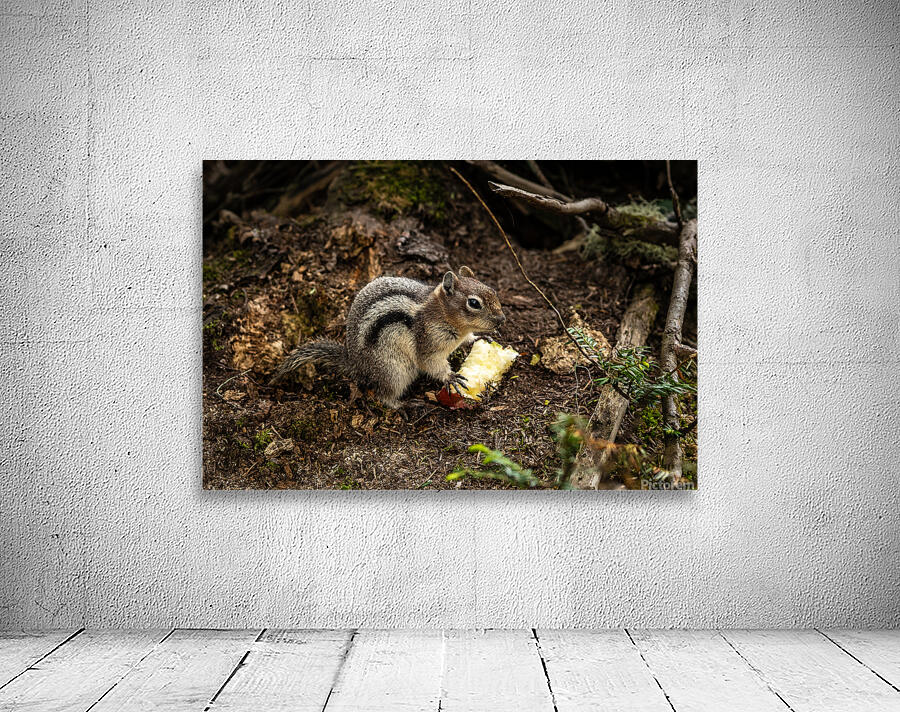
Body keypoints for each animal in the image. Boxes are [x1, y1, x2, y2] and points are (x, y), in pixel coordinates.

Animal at [270, 266, 506, 408]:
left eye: (493, 291)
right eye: (474, 303)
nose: (502, 319)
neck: (443, 314)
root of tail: (355, 365)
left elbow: (468, 339)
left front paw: (477, 339)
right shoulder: (428, 342)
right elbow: (430, 363)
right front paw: (450, 376)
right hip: (394, 371)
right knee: (384, 396)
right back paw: (405, 404)